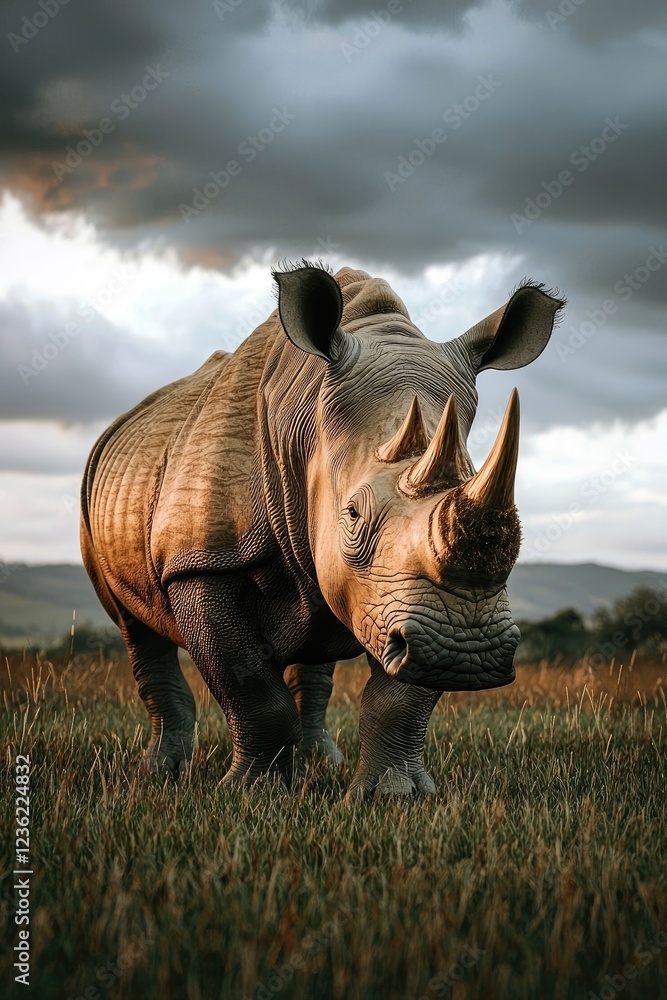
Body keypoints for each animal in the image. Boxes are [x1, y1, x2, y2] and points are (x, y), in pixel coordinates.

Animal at [81, 262, 563, 797]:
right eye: (352, 515)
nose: (466, 650)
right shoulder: (201, 560)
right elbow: (247, 684)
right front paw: (255, 793)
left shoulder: (412, 606)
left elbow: (402, 699)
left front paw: (393, 796)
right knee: (136, 629)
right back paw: (160, 772)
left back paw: (320, 763)